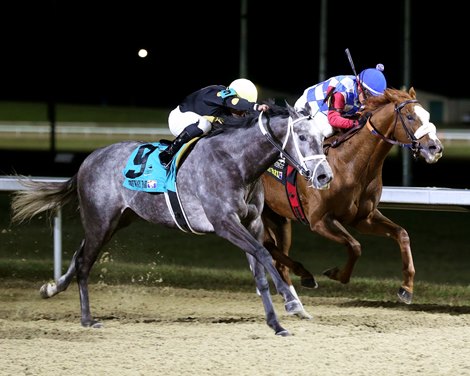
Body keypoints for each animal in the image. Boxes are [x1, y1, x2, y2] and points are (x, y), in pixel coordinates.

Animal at [11, 102, 334, 334]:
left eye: (323, 138)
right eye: (302, 136)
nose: (324, 176)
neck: (237, 162)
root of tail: (88, 159)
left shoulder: (251, 223)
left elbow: (259, 270)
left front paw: (276, 323)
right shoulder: (224, 223)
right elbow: (265, 256)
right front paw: (291, 302)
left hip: (116, 221)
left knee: (79, 255)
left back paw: (52, 288)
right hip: (100, 220)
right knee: (83, 262)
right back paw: (87, 319)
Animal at [262, 87, 442, 306]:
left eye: (428, 115)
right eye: (409, 117)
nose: (436, 148)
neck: (350, 163)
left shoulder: (364, 218)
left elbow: (402, 234)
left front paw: (406, 288)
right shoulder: (319, 220)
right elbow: (355, 246)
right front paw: (337, 274)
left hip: (279, 217)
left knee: (276, 255)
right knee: (267, 245)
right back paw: (303, 277)